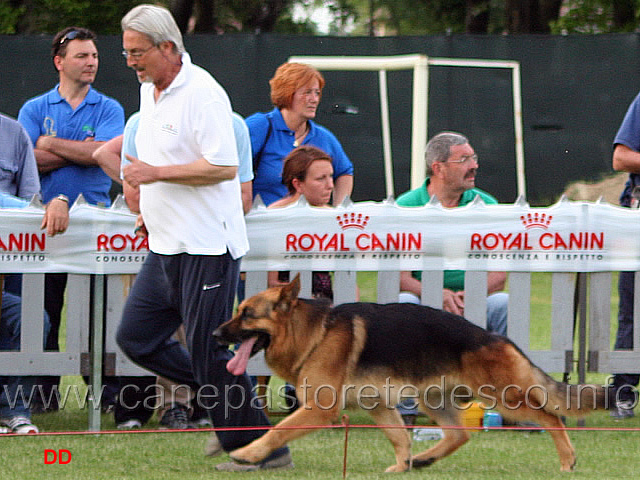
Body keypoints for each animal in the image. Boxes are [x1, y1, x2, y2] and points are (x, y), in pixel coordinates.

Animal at [212, 276, 608, 470]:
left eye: (246, 314)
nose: (215, 335)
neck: (314, 333)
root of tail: (496, 337)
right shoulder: (378, 407)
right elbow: (400, 438)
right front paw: (401, 466)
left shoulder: (319, 410)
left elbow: (277, 431)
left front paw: (248, 454)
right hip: (434, 401)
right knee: (460, 434)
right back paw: (424, 459)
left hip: (503, 398)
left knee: (551, 417)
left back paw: (568, 461)